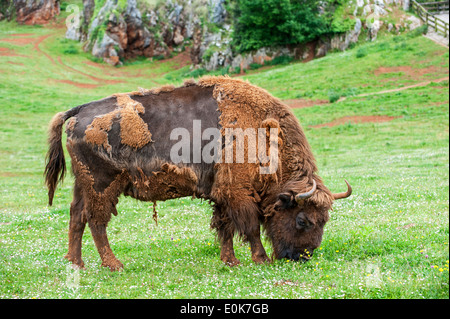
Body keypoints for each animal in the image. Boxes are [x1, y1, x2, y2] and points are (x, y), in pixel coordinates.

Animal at [44, 76, 352, 272]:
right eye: (303, 220)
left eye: (324, 220)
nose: (302, 257)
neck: (264, 133)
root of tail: (77, 112)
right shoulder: (239, 194)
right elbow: (249, 227)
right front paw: (260, 259)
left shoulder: (222, 194)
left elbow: (225, 227)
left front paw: (230, 261)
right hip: (102, 184)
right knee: (97, 221)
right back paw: (114, 265)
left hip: (83, 183)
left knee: (76, 217)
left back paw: (76, 263)